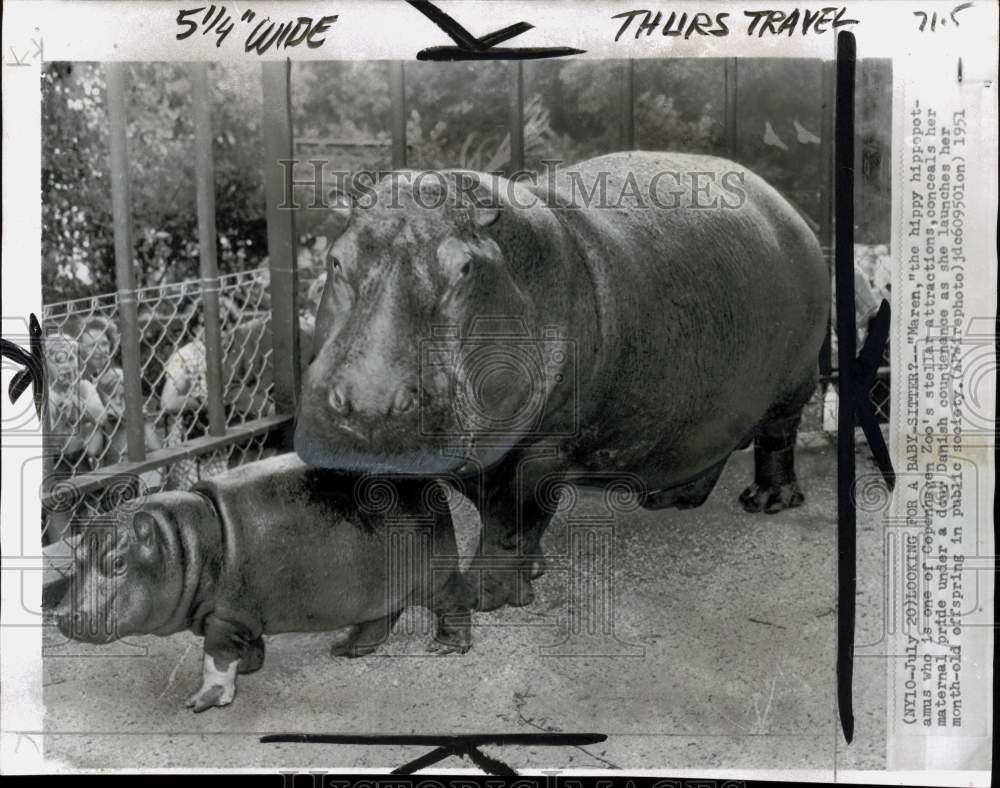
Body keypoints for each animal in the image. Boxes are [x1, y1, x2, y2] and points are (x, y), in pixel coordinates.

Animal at [50, 453, 472, 711]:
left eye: (117, 562)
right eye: (77, 556)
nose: (63, 616)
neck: (186, 541)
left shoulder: (225, 617)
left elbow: (216, 657)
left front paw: (203, 701)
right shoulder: (239, 615)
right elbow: (245, 646)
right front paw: (251, 666)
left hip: (436, 575)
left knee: (454, 603)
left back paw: (446, 647)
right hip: (377, 587)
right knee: (381, 617)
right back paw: (346, 648)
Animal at [295, 151, 830, 612]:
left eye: (465, 268)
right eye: (337, 259)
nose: (368, 404)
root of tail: (788, 206)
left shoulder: (545, 444)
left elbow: (511, 519)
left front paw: (485, 597)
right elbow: (502, 514)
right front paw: (529, 570)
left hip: (794, 384)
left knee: (777, 438)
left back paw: (766, 502)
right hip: (707, 397)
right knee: (709, 441)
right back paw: (670, 499)